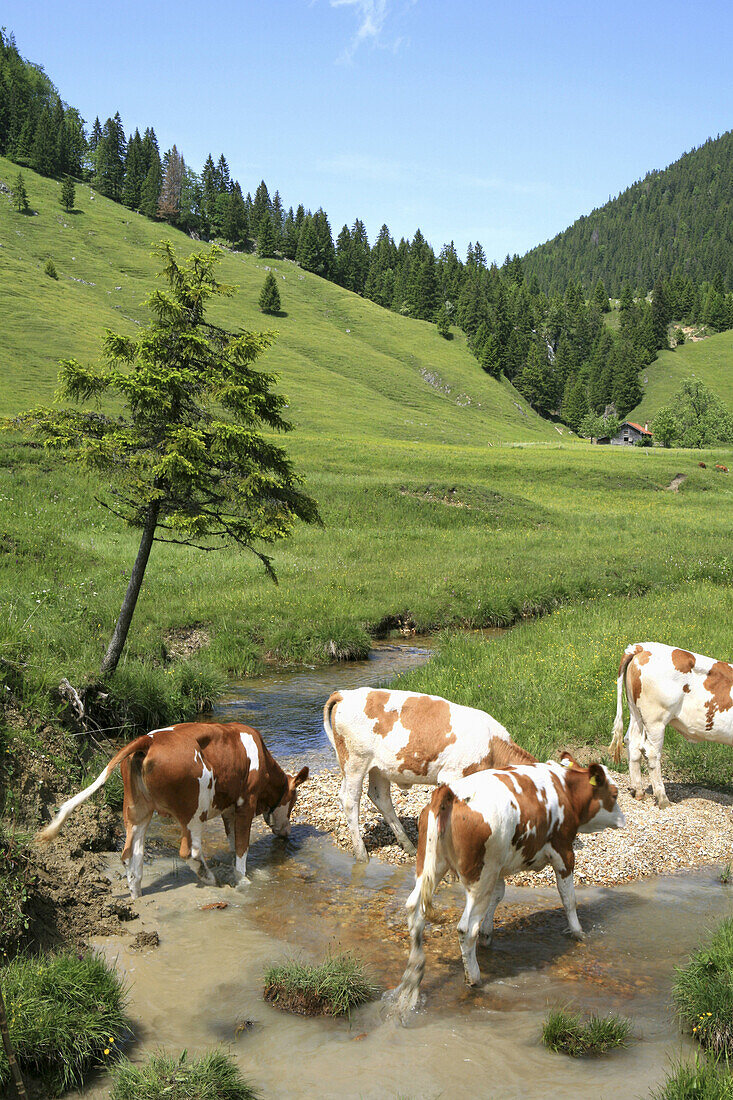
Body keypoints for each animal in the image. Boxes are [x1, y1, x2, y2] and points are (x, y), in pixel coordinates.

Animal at [37, 717, 308, 897]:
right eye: (294, 800)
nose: (287, 833)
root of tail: (148, 739)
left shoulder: (229, 810)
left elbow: (233, 843)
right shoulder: (246, 804)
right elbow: (242, 848)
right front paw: (243, 881)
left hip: (137, 810)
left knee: (131, 854)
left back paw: (136, 894)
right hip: (194, 811)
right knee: (190, 852)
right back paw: (211, 879)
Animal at [323, 686, 534, 858]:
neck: (493, 747)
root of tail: (344, 694)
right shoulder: (451, 776)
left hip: (379, 768)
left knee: (380, 797)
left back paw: (408, 845)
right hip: (354, 762)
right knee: (350, 801)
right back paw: (361, 854)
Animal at [391, 752, 625, 1016]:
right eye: (614, 794)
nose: (623, 819)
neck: (565, 788)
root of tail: (451, 793)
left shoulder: (498, 867)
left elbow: (499, 895)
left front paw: (488, 933)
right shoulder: (564, 851)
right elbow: (569, 899)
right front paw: (578, 933)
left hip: (431, 866)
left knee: (414, 911)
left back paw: (414, 976)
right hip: (479, 878)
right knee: (465, 928)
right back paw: (474, 978)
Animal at [603, 642, 730, 809]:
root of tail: (641, 647)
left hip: (635, 713)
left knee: (632, 743)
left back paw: (638, 791)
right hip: (656, 720)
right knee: (652, 753)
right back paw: (663, 799)